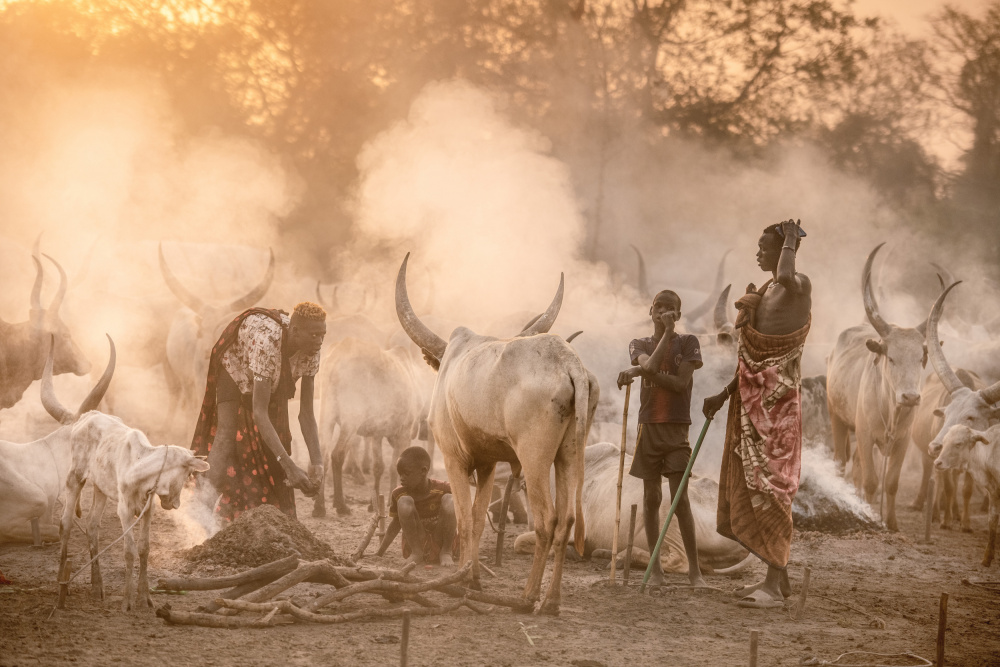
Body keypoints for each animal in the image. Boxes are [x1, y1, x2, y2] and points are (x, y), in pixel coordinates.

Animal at [394, 256, 596, 616]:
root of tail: (568, 362)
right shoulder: (487, 464)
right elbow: (476, 519)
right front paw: (472, 578)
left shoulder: (454, 458)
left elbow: (463, 519)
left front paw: (463, 578)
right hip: (570, 454)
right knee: (567, 521)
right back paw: (551, 601)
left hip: (533, 458)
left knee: (546, 521)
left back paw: (528, 597)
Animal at [828, 244, 928, 532]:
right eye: (891, 358)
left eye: (921, 358)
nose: (910, 397)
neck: (891, 407)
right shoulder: (864, 434)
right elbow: (872, 481)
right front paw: (870, 518)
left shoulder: (903, 441)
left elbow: (891, 483)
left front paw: (891, 523)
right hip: (837, 418)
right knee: (841, 464)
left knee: (857, 469)